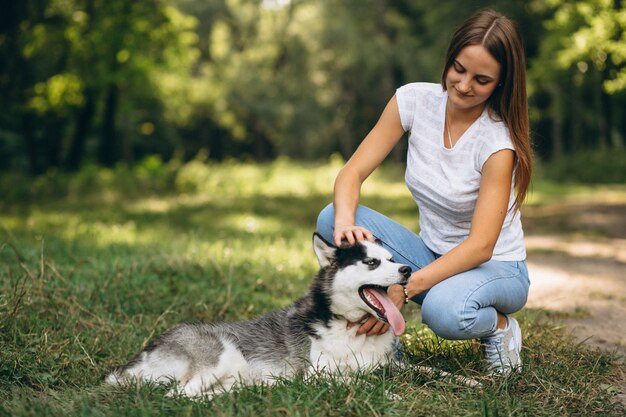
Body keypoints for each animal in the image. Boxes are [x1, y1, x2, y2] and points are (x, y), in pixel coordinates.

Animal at [106, 232, 410, 394]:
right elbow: (358, 382)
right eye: (371, 262)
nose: (407, 269)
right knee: (176, 395)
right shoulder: (316, 376)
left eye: (392, 259)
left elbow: (414, 369)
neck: (349, 326)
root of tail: (146, 351)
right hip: (221, 355)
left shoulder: (387, 365)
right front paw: (390, 394)